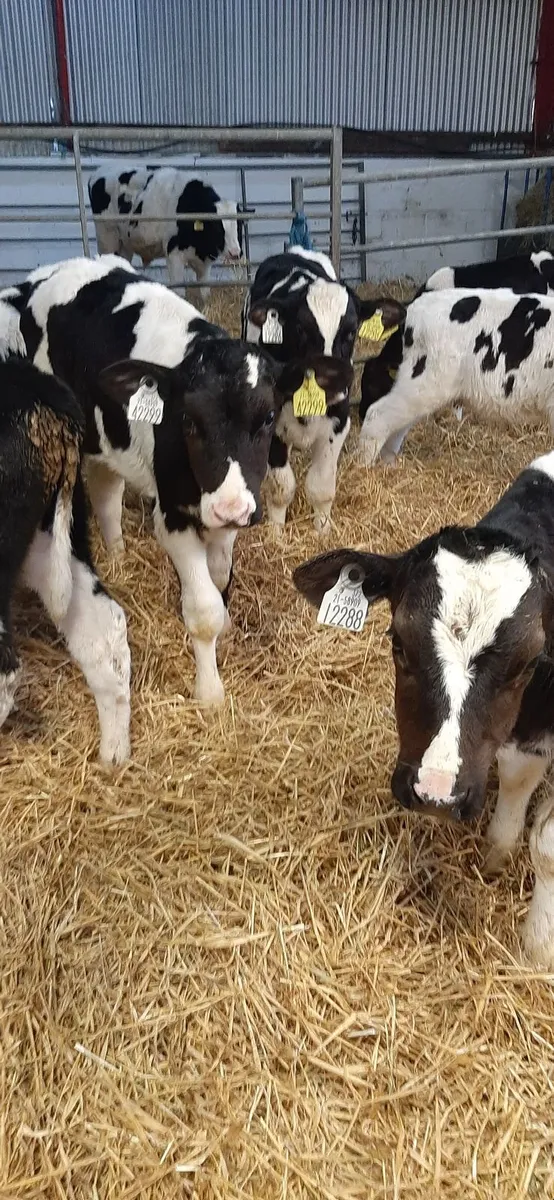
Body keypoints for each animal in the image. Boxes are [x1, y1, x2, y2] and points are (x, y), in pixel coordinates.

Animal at [14, 255, 280, 708]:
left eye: (267, 417)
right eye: (189, 420)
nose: (230, 507)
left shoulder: (230, 509)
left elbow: (220, 576)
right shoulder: (172, 516)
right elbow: (204, 611)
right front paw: (209, 693)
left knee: (107, 493)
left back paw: (119, 556)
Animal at [88, 164, 242, 305]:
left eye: (239, 225)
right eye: (217, 227)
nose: (235, 253)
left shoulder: (205, 260)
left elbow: (205, 293)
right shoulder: (174, 254)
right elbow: (180, 292)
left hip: (125, 245)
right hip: (107, 239)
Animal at [242, 247, 405, 530]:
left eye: (351, 331)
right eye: (300, 329)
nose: (331, 379)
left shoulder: (339, 421)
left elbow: (321, 485)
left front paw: (323, 529)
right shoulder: (271, 426)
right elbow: (281, 486)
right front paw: (276, 531)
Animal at [359, 287, 554, 467]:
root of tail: (413, 308)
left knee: (396, 426)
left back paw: (388, 465)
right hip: (424, 381)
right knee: (377, 415)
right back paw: (364, 467)